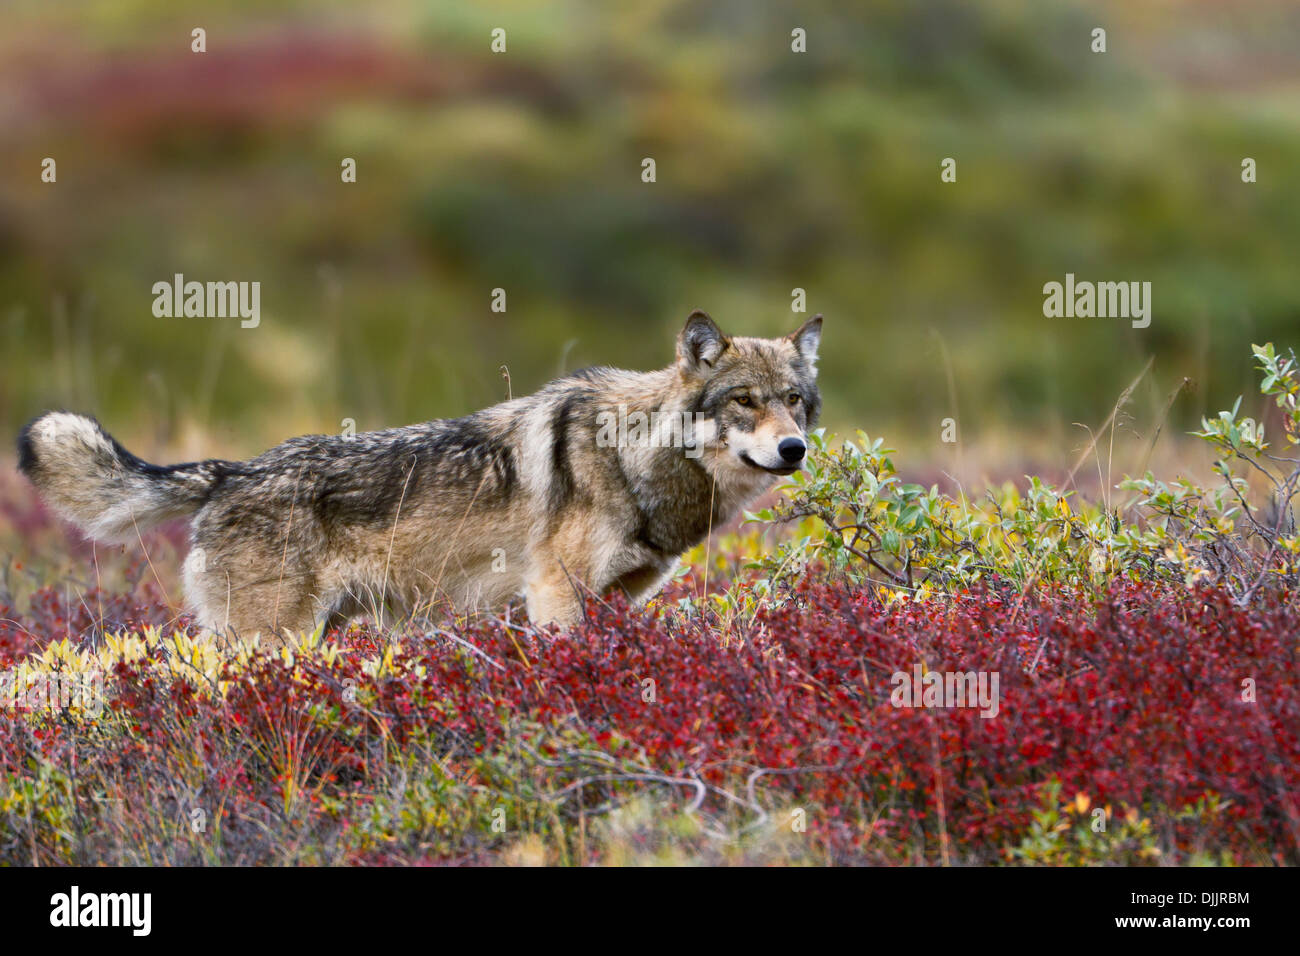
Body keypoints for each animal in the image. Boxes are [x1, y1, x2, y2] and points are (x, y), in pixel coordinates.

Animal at [17, 312, 821, 642]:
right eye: (745, 402)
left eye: (794, 401)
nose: (795, 450)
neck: (637, 456)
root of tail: (230, 471)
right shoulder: (556, 596)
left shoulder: (617, 599)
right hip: (269, 638)